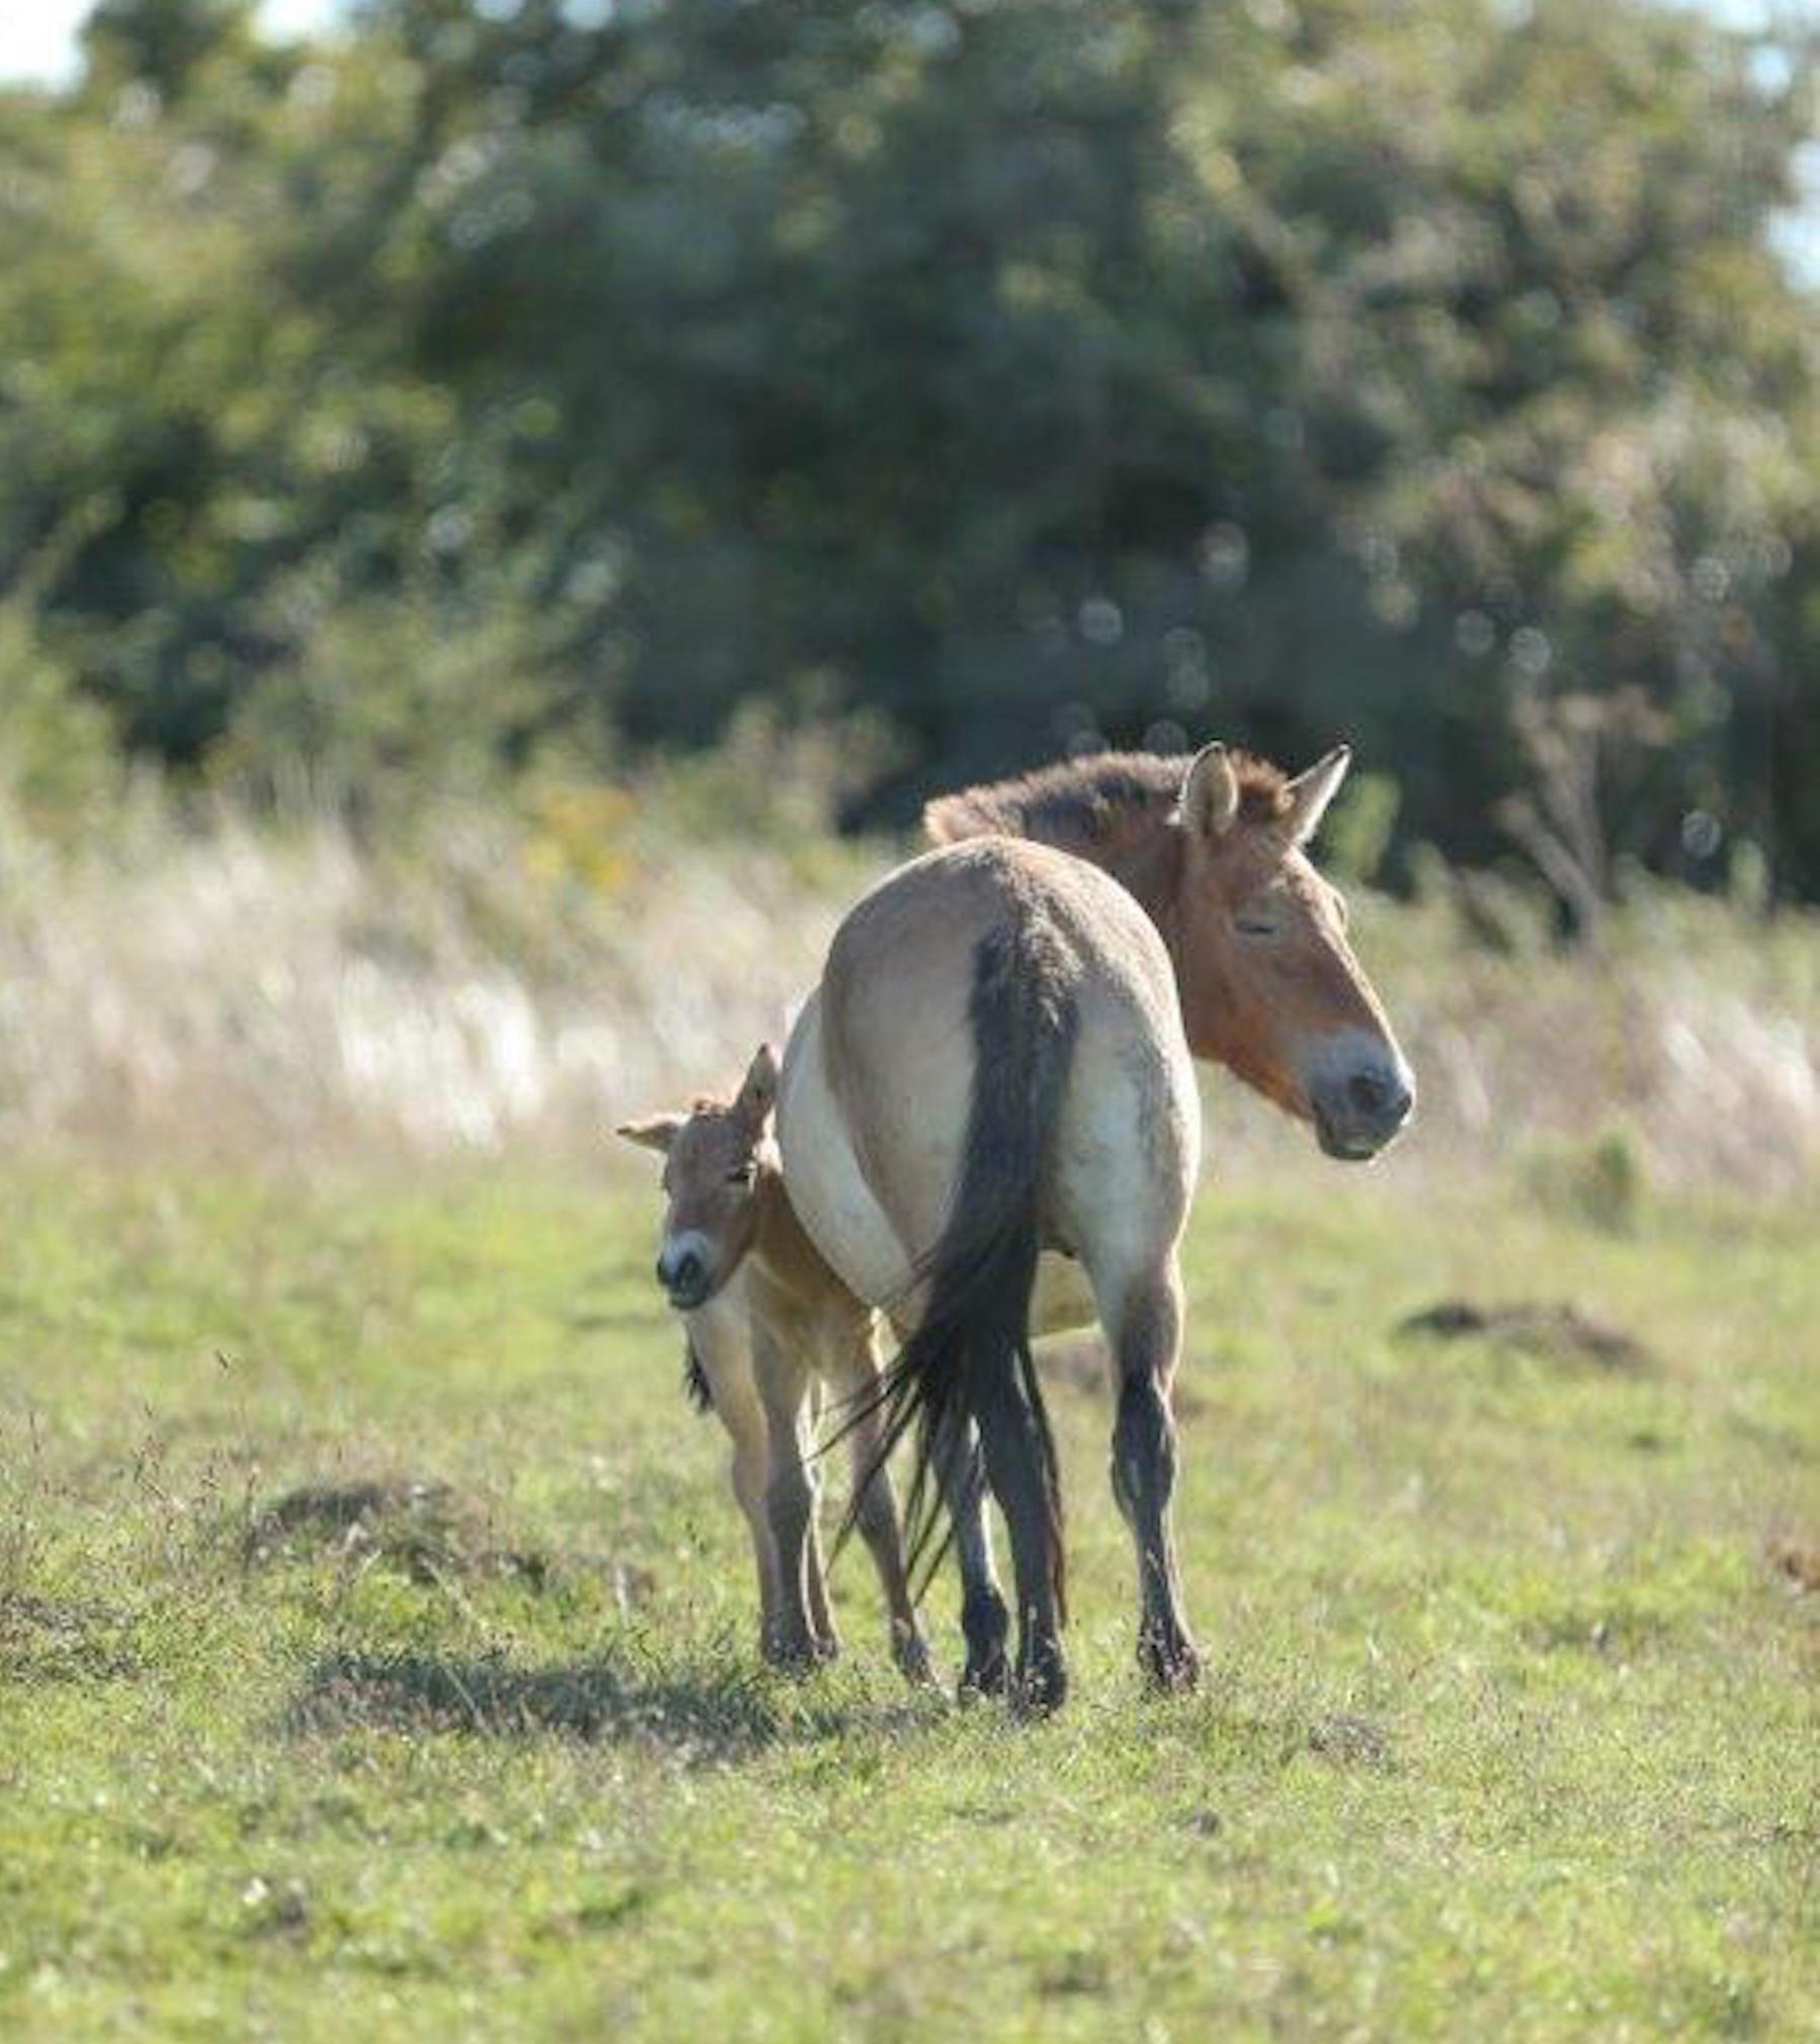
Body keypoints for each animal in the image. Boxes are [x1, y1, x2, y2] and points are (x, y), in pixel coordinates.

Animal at [618, 1045, 933, 1685]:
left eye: (739, 1172)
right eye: (666, 1184)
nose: (677, 1269)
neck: (804, 1264)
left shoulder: (854, 1357)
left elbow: (869, 1497)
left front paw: (914, 1655)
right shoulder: (773, 1360)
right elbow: (784, 1496)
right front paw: (793, 1645)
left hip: (812, 1378)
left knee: (806, 1471)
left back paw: (826, 1637)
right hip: (733, 1373)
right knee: (752, 1476)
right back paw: (784, 1637)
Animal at [776, 742, 1413, 1711]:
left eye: (1335, 914)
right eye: (1259, 924)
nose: (1384, 1093)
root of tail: (1024, 921)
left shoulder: (926, 1315)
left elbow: (965, 1460)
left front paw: (985, 1650)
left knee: (1007, 1446)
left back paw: (1035, 1671)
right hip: (1140, 1270)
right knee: (1143, 1445)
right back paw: (1167, 1658)